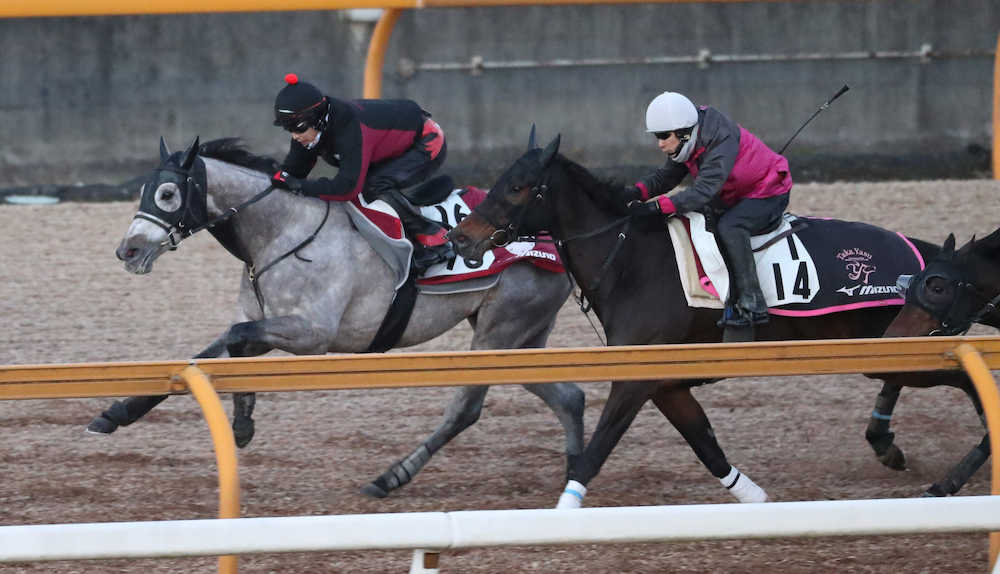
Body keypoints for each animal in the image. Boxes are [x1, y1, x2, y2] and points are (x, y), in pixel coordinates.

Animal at [88, 136, 584, 500]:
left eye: (168, 193)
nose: (127, 250)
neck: (282, 232)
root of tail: (553, 237)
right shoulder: (267, 319)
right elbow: (211, 353)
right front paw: (116, 413)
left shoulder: (312, 334)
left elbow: (236, 338)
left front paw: (243, 421)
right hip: (520, 338)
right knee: (571, 397)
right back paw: (575, 473)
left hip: (500, 332)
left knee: (465, 409)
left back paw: (390, 478)